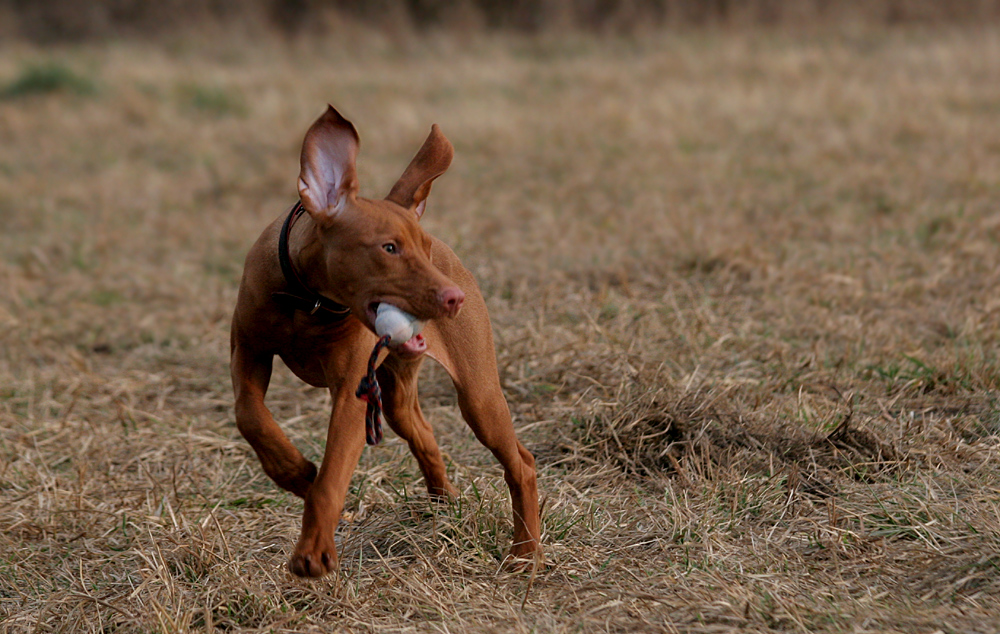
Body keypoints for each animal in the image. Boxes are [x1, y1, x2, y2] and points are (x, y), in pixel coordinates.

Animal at [229, 106, 540, 576]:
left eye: (424, 249)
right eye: (389, 248)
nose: (454, 298)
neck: (309, 302)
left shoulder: (351, 394)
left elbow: (332, 478)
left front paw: (313, 549)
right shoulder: (248, 351)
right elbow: (249, 415)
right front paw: (294, 472)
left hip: (478, 396)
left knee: (521, 463)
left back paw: (526, 553)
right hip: (394, 398)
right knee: (424, 434)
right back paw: (443, 504)